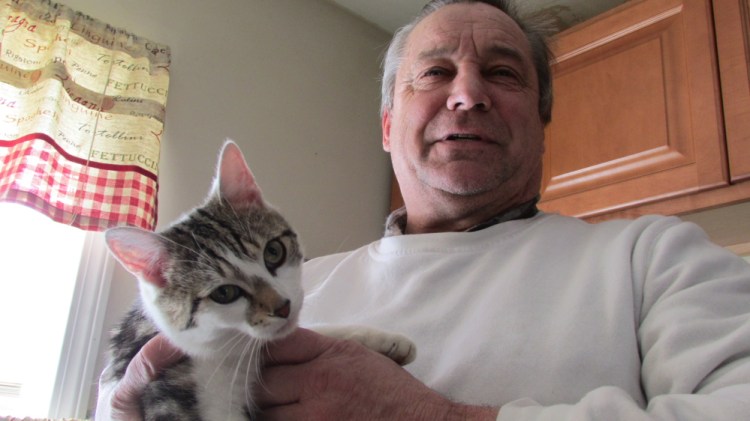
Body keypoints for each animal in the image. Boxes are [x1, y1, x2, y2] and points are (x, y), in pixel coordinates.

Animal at [101, 142, 412, 420]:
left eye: (274, 251)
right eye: (224, 293)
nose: (283, 307)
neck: (229, 352)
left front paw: (384, 340)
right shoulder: (170, 389)